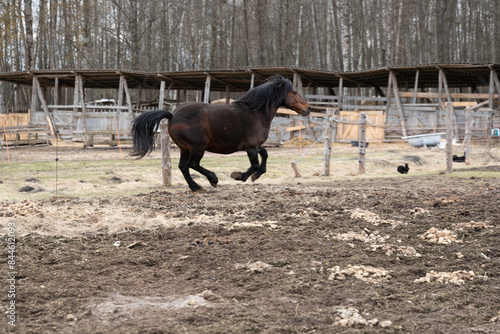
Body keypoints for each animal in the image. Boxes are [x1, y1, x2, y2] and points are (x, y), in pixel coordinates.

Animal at [132, 75, 312, 190]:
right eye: (294, 92)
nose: (308, 108)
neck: (255, 112)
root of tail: (172, 115)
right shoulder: (251, 147)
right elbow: (254, 164)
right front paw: (240, 176)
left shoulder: (253, 145)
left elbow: (265, 154)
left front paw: (257, 175)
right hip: (198, 147)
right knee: (192, 164)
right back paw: (212, 179)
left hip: (185, 148)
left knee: (183, 166)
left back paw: (196, 187)